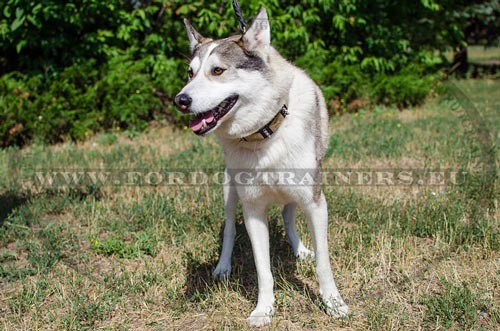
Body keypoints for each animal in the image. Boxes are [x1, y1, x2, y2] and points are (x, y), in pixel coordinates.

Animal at [175, 7, 348, 326]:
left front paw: (333, 303)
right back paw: (223, 267)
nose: (180, 100)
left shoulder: (316, 203)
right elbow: (262, 268)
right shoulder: (253, 209)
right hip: (229, 191)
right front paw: (263, 309)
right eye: (190, 74)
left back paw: (299, 249)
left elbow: (323, 262)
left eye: (217, 71)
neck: (265, 134)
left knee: (289, 216)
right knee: (230, 230)